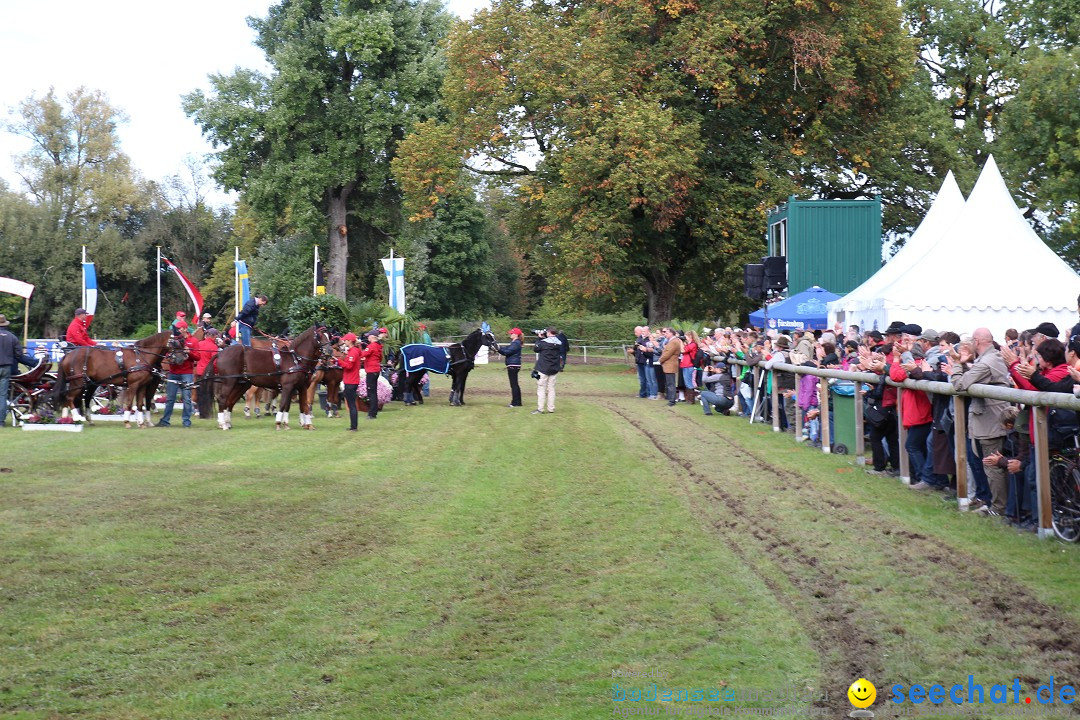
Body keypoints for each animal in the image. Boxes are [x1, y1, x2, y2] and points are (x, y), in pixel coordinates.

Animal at [203, 328, 332, 433]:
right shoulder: (288, 386)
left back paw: (228, 422)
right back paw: (223, 424)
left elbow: (302, 405)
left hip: (241, 384)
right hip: (229, 382)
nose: (329, 351)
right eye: (319, 336)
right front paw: (279, 423)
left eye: (329, 336)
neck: (296, 359)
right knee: (222, 399)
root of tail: (221, 353)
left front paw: (306, 424)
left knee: (230, 401)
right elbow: (284, 404)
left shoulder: (301, 387)